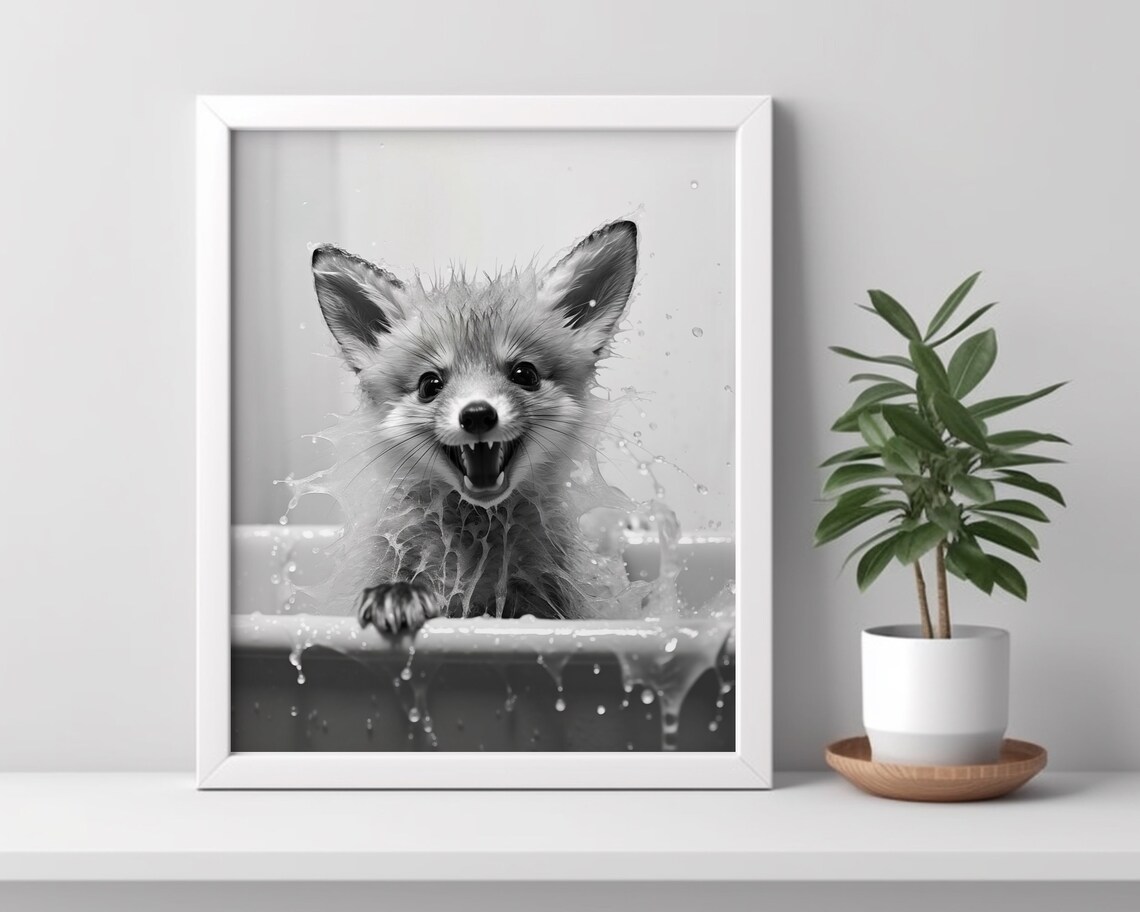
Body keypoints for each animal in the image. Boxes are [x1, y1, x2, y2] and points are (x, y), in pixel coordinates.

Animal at [310, 219, 639, 635]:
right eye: (429, 384)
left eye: (525, 374)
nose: (478, 414)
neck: (475, 542)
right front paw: (396, 597)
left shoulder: (550, 602)